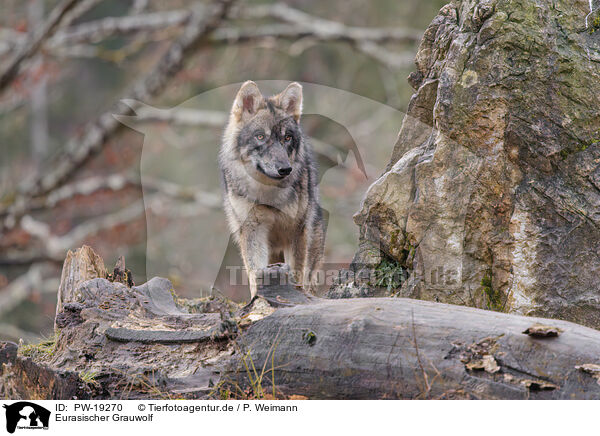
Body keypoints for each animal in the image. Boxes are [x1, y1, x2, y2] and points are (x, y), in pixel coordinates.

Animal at [219, 81, 324, 300]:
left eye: (287, 138)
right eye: (260, 137)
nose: (285, 169)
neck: (267, 193)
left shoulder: (296, 231)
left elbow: (297, 273)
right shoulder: (252, 231)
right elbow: (254, 273)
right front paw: (257, 300)